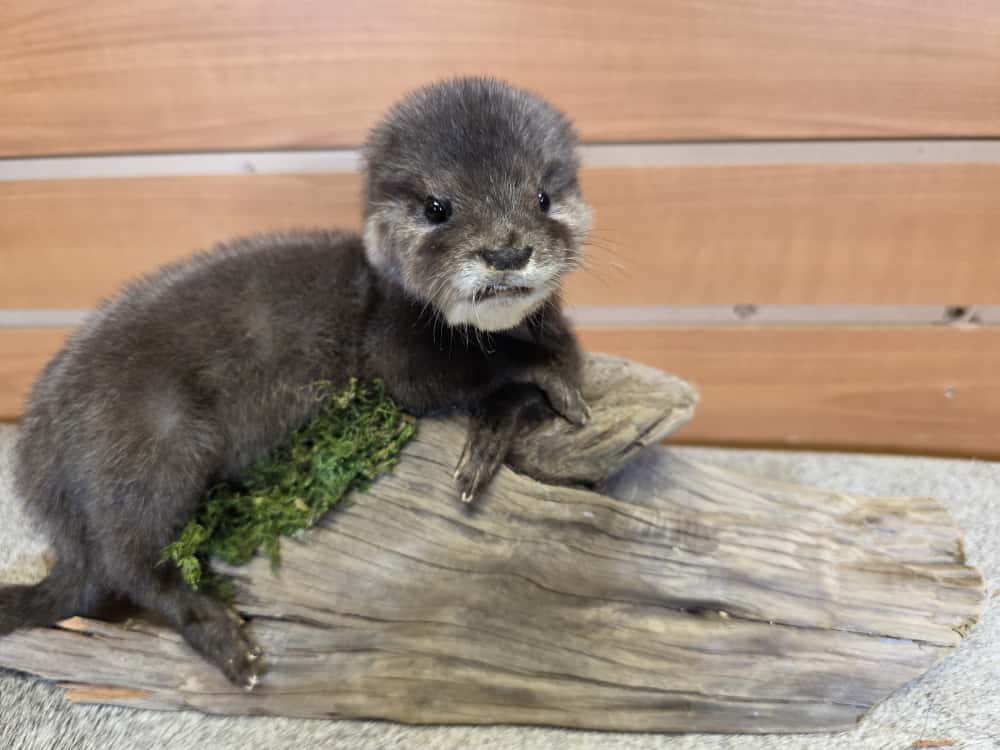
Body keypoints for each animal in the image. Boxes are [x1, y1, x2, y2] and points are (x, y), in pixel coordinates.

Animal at [0, 78, 592, 688]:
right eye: (437, 207)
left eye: (543, 196)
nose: (506, 250)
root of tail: (42, 468)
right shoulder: (394, 350)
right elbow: (454, 376)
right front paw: (528, 379)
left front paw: (501, 426)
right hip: (155, 443)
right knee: (129, 564)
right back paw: (227, 640)